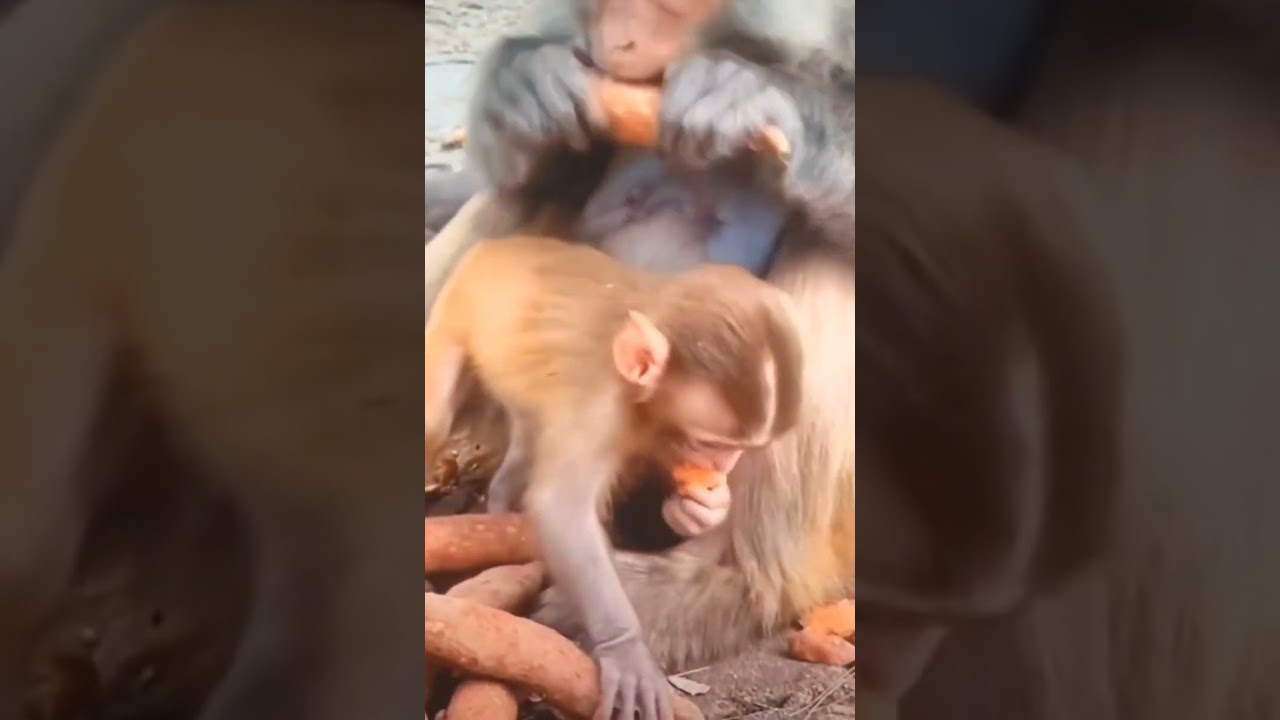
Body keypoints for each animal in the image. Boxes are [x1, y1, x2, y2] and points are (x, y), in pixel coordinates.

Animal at [425, 233, 803, 720]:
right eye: (714, 444)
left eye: (741, 449)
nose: (725, 468)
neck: (642, 405)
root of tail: (505, 242)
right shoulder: (601, 409)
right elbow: (563, 509)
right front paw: (626, 650)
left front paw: (703, 508)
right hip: (457, 303)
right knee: (435, 420)